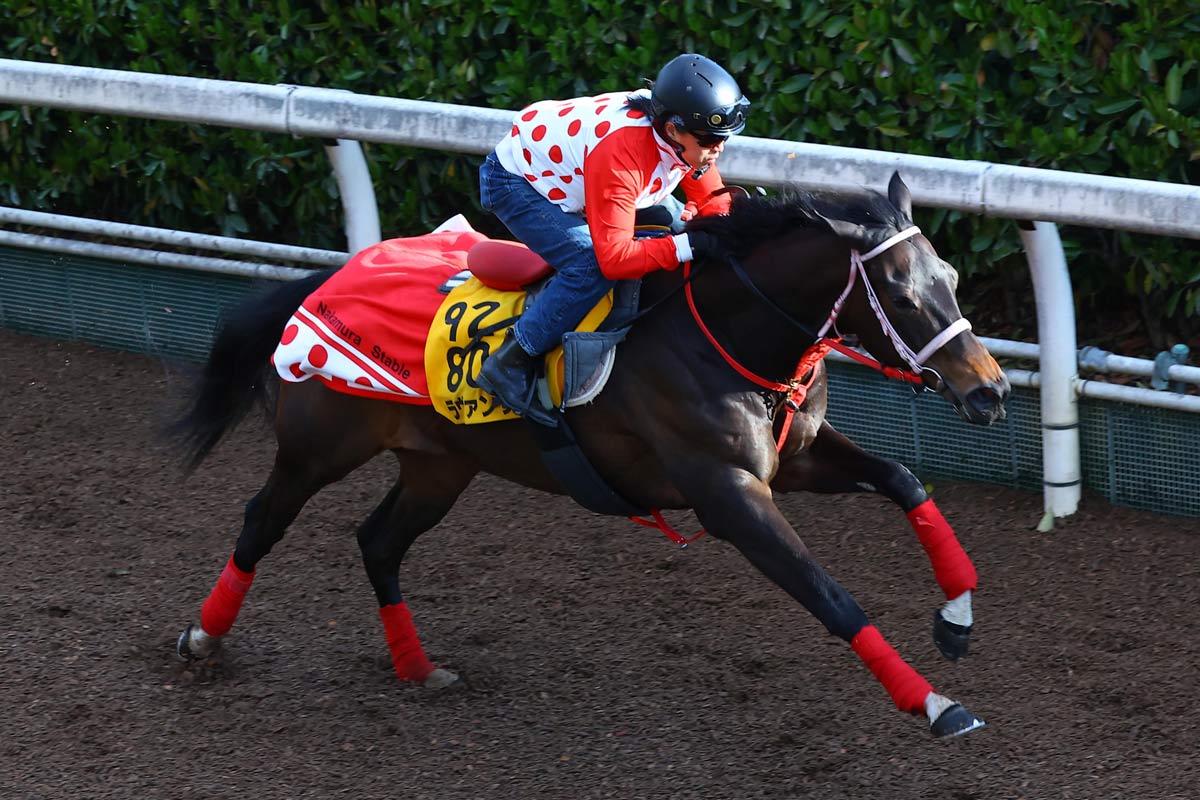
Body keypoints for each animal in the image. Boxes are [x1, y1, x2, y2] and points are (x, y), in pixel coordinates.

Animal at [172, 172, 1009, 739]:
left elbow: (904, 480)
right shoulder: (727, 492)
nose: (991, 391)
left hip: (441, 463)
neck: (722, 333)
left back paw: (418, 667)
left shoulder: (792, 459)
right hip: (320, 448)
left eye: (950, 278)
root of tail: (329, 276)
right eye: (901, 294)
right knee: (262, 520)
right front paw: (935, 703)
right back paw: (203, 638)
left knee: (377, 541)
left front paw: (957, 621)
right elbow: (829, 595)